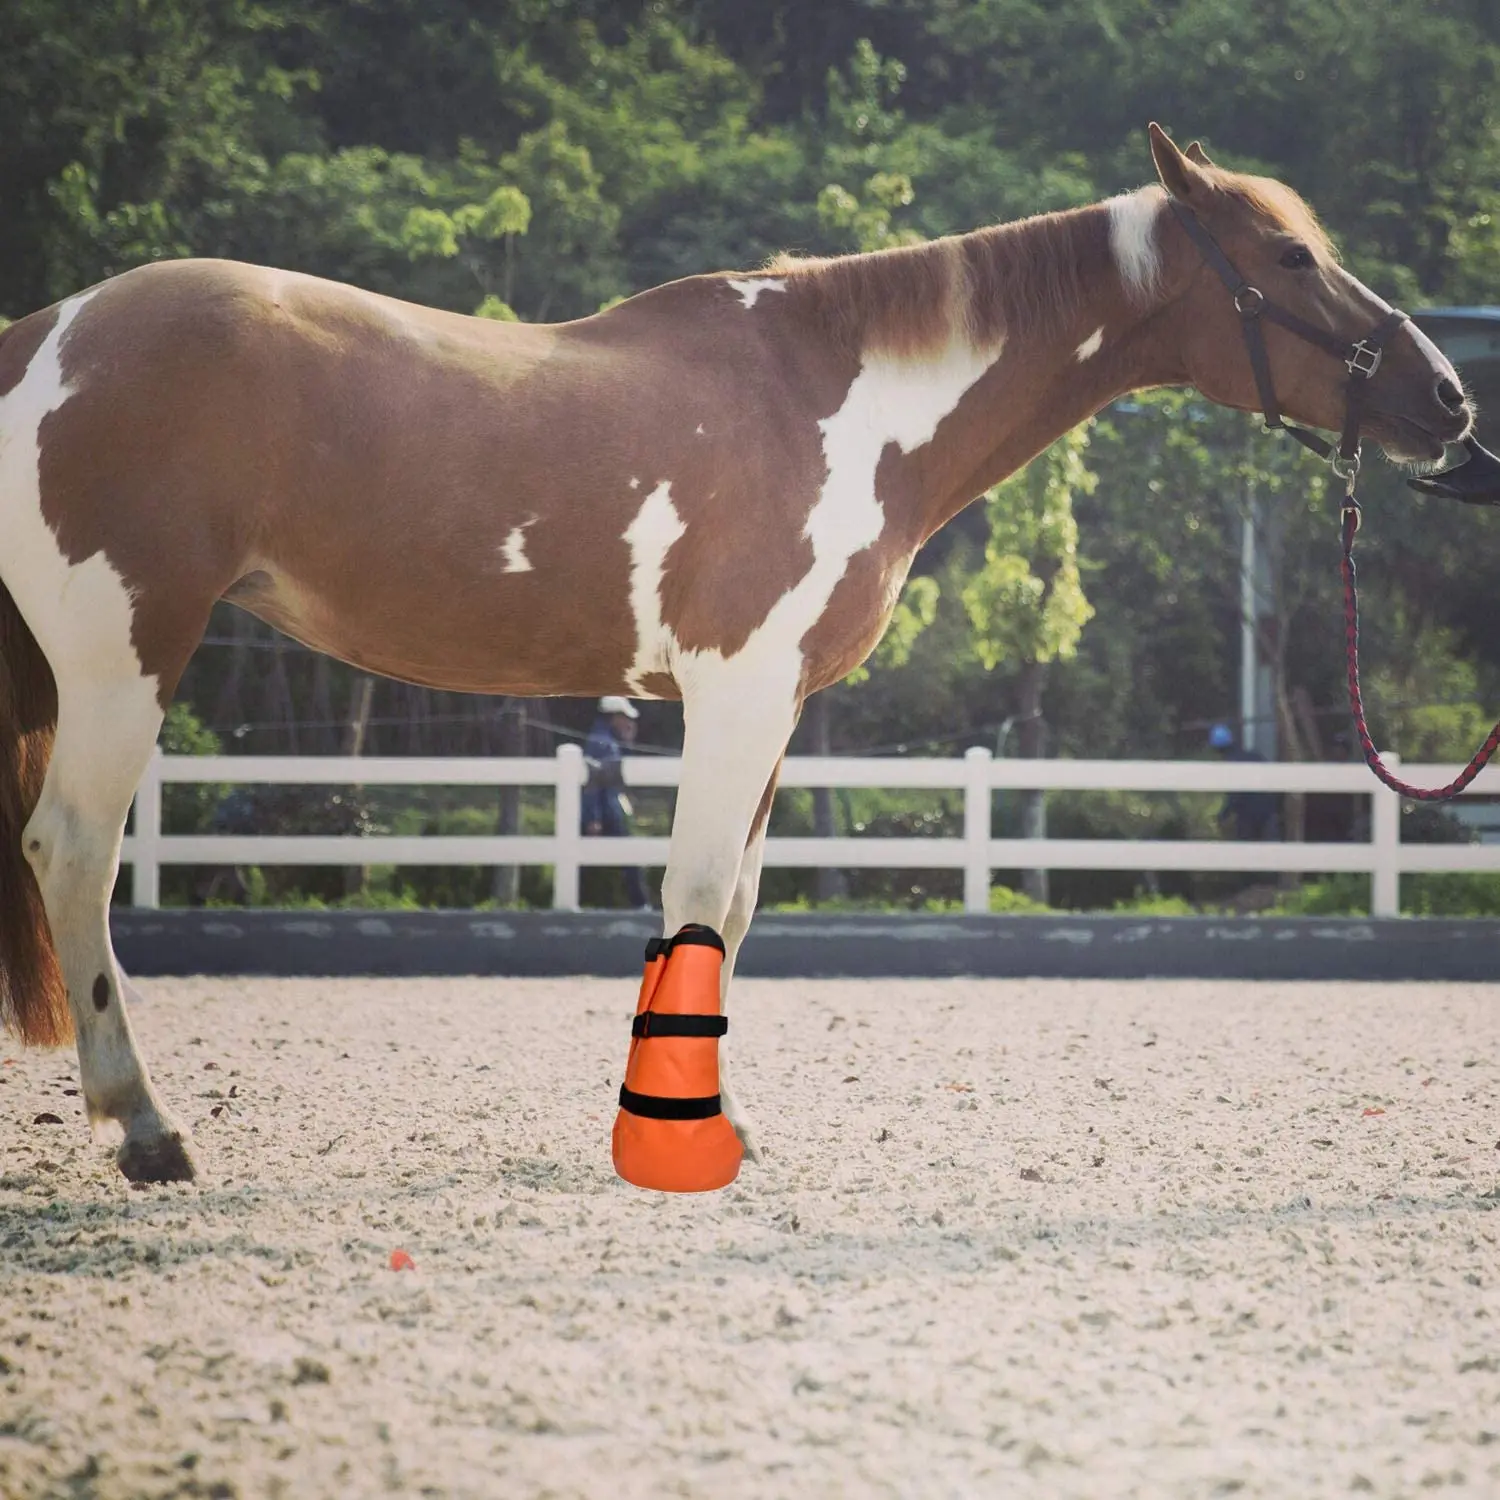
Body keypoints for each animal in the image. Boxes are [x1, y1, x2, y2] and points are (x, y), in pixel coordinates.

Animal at [0, 126, 1470, 1182]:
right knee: (74, 853)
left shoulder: (769, 709)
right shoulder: (739, 691)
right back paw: (148, 1130)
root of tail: (43, 335)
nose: (1448, 400)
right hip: (126, 656)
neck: (839, 403)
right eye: (1289, 257)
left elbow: (737, 905)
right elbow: (701, 892)